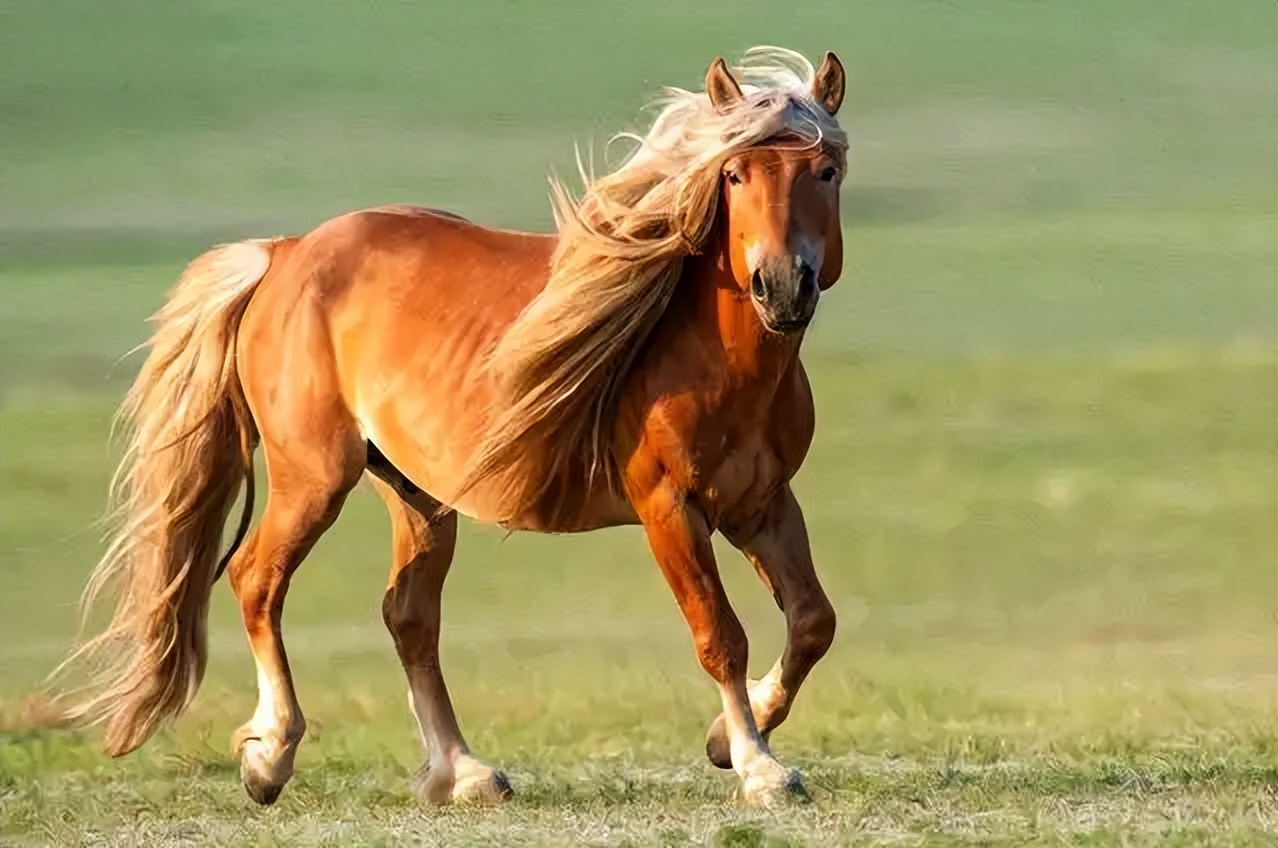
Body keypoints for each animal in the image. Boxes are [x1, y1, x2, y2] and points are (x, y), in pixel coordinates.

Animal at [52, 46, 848, 807]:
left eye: (827, 170)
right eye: (734, 173)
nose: (782, 285)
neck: (710, 355)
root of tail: (284, 254)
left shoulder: (761, 504)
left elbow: (813, 621)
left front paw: (727, 737)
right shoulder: (669, 509)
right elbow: (720, 636)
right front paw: (759, 768)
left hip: (418, 494)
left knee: (408, 617)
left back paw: (462, 772)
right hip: (316, 476)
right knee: (257, 580)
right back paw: (270, 757)